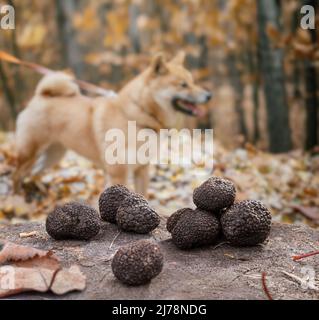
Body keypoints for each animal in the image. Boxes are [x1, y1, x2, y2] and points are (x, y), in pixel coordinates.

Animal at [13, 53, 212, 195]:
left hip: (53, 154)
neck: (136, 115)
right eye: (183, 85)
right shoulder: (118, 172)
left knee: (33, 172)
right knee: (17, 175)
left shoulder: (142, 169)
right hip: (30, 152)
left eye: (193, 82)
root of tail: (41, 95)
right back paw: (17, 197)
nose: (209, 95)